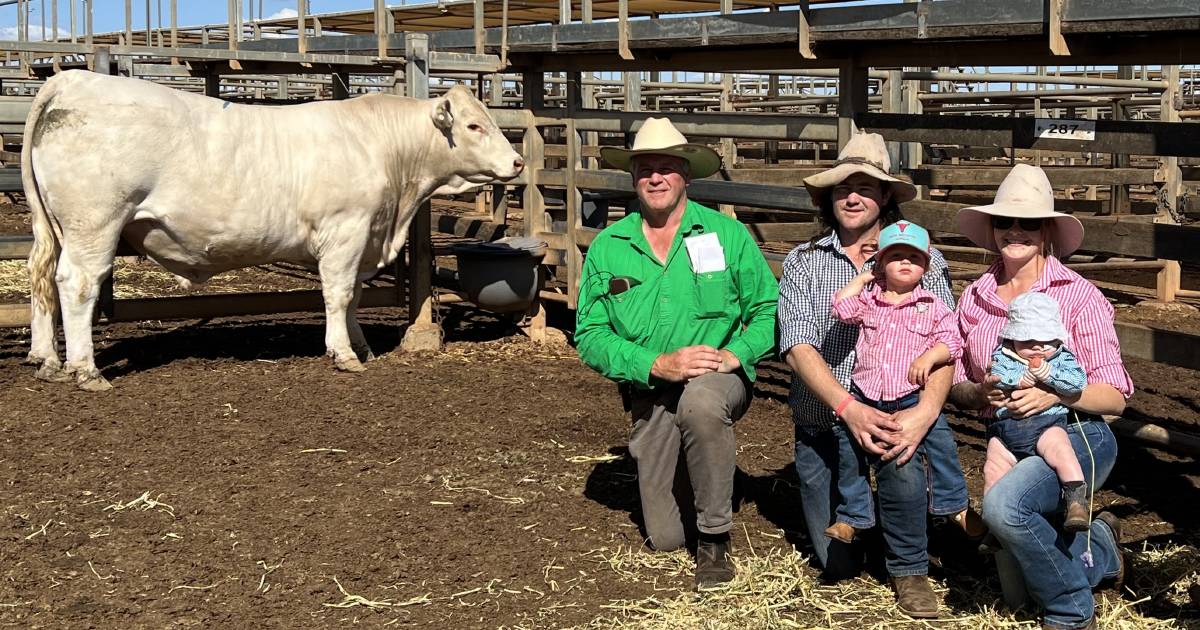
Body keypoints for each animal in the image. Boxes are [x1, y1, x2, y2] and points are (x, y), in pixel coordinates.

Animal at [23, 71, 525, 391]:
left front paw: (362, 346)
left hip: (55, 229)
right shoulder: (345, 232)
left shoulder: (363, 240)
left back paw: (47, 359)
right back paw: (86, 371)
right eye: (474, 124)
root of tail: (72, 78)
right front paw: (343, 354)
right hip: (95, 224)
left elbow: (356, 296)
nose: (518, 162)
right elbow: (339, 295)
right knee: (77, 285)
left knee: (41, 277)